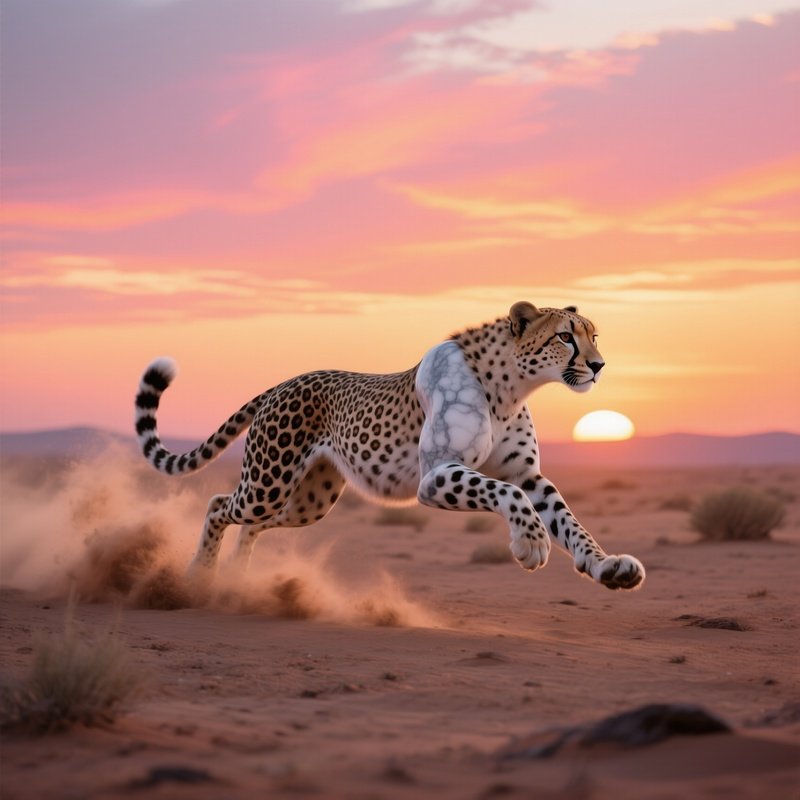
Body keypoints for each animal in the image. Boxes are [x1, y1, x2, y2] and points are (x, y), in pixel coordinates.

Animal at [134, 301, 645, 591]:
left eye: (594, 335)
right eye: (565, 337)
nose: (598, 365)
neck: (511, 386)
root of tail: (285, 381)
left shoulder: (528, 474)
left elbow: (566, 518)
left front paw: (606, 566)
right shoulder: (437, 475)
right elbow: (508, 495)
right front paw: (531, 543)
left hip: (307, 501)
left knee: (252, 524)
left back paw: (238, 577)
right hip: (269, 483)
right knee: (219, 505)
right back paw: (200, 576)